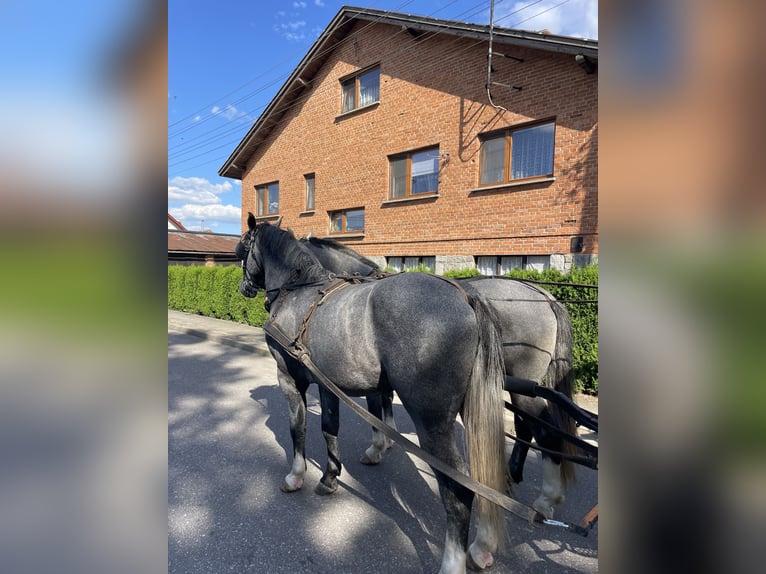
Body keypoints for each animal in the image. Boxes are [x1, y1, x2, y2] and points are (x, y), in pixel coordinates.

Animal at [234, 217, 510, 574]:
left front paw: (296, 475)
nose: (244, 287)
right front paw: (331, 477)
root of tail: (464, 295)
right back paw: (482, 545)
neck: (301, 292)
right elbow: (330, 428)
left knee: (458, 485)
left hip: (432, 420)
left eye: (242, 249)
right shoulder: (328, 383)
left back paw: (453, 561)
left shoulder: (290, 378)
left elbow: (299, 427)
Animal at [304, 236, 580, 520]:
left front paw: (377, 447)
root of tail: (544, 296)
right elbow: (383, 400)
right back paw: (513, 477)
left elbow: (375, 405)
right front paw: (386, 441)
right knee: (526, 426)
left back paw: (541, 495)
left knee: (539, 429)